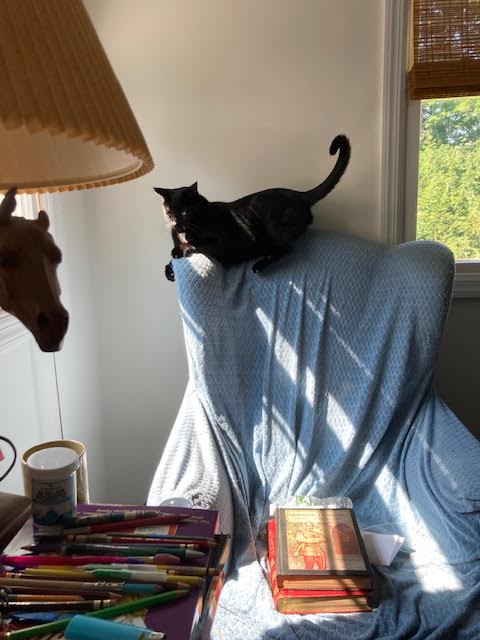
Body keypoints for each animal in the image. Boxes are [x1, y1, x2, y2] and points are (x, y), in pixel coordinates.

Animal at [155, 134, 350, 281]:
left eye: (184, 212)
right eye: (168, 212)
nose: (175, 224)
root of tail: (298, 194)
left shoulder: (217, 243)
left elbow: (194, 243)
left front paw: (178, 250)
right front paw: (169, 270)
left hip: (258, 207)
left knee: (286, 247)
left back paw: (258, 266)